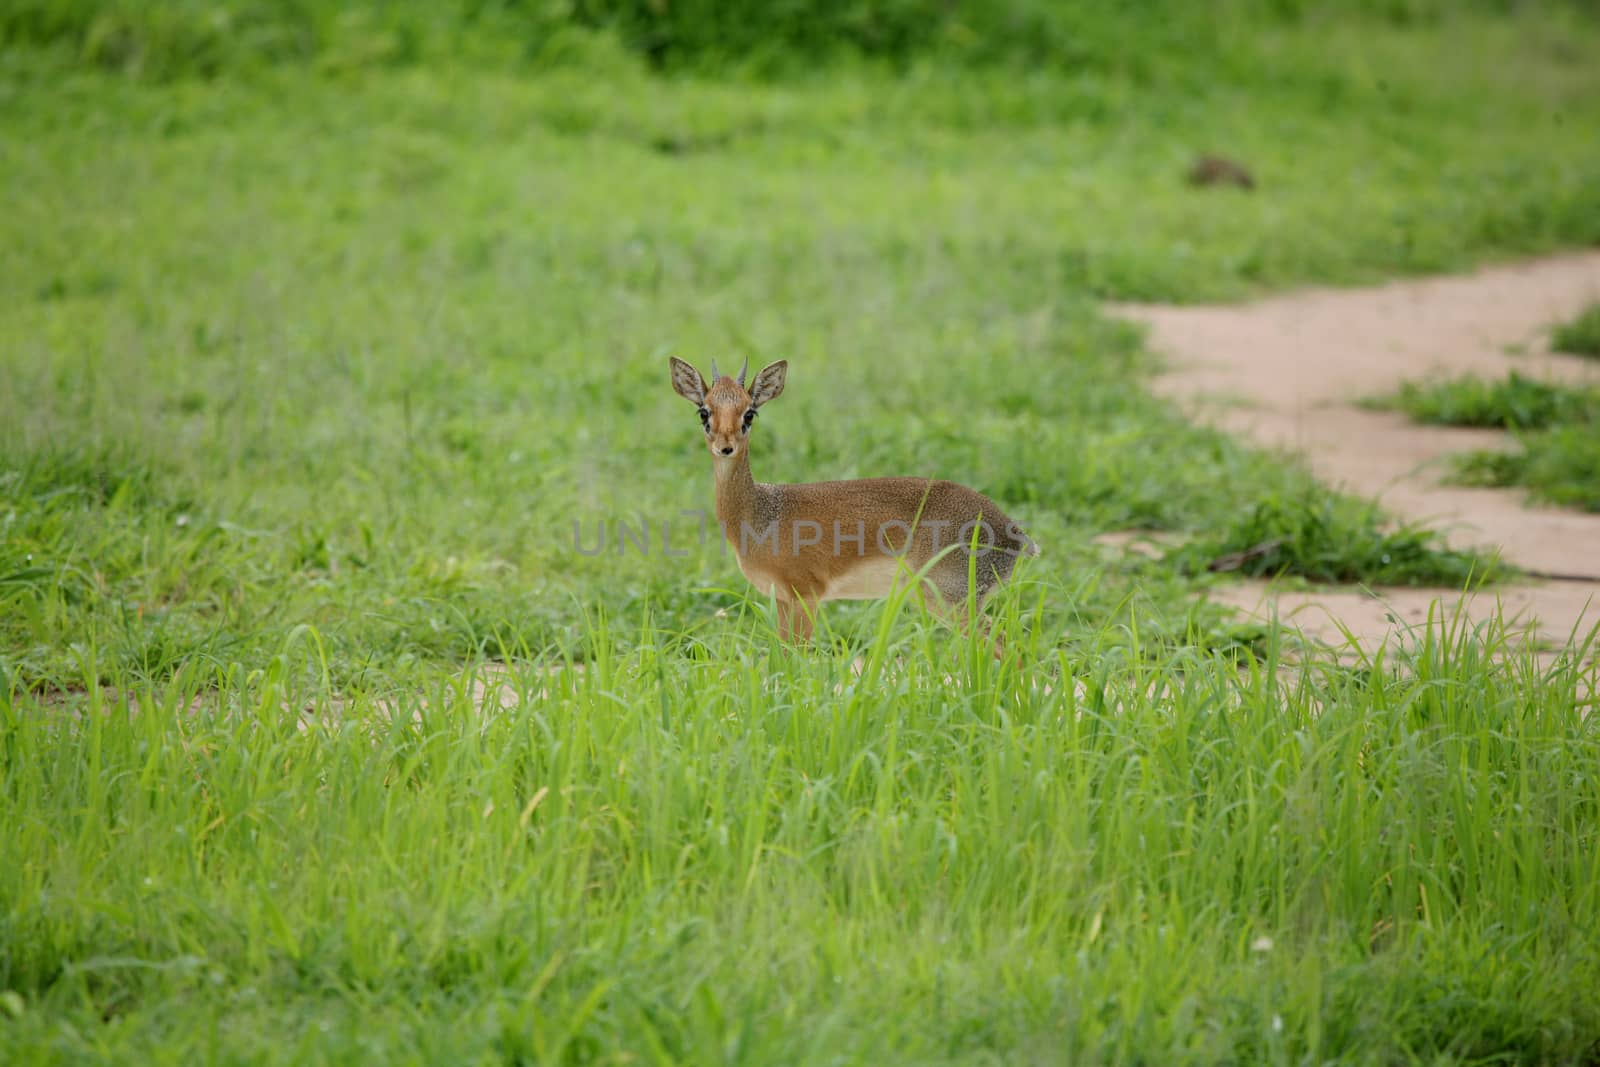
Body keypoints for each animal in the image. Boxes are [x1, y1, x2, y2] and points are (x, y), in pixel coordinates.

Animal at [662, 356, 1036, 643]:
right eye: (704, 412)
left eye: (749, 412)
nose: (725, 446)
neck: (761, 513)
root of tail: (1016, 535)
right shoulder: (781, 599)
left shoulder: (807, 595)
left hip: (951, 600)